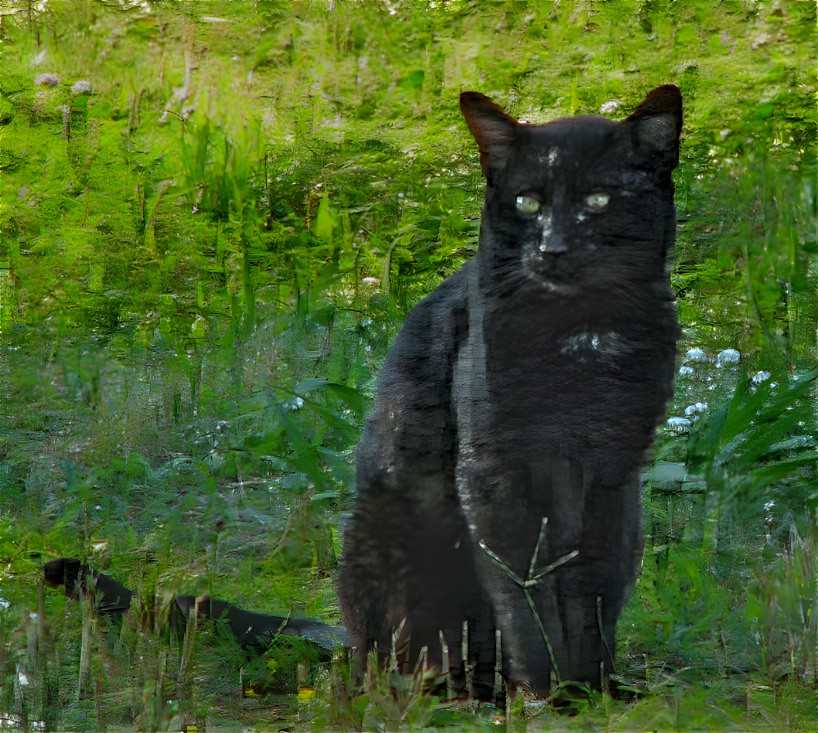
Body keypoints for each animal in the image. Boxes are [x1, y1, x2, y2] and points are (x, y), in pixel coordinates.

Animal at [334, 86, 680, 696]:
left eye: (597, 199)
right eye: (527, 203)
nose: (553, 248)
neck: (580, 333)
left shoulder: (611, 473)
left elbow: (591, 589)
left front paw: (591, 689)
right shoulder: (496, 472)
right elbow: (523, 592)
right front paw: (544, 689)